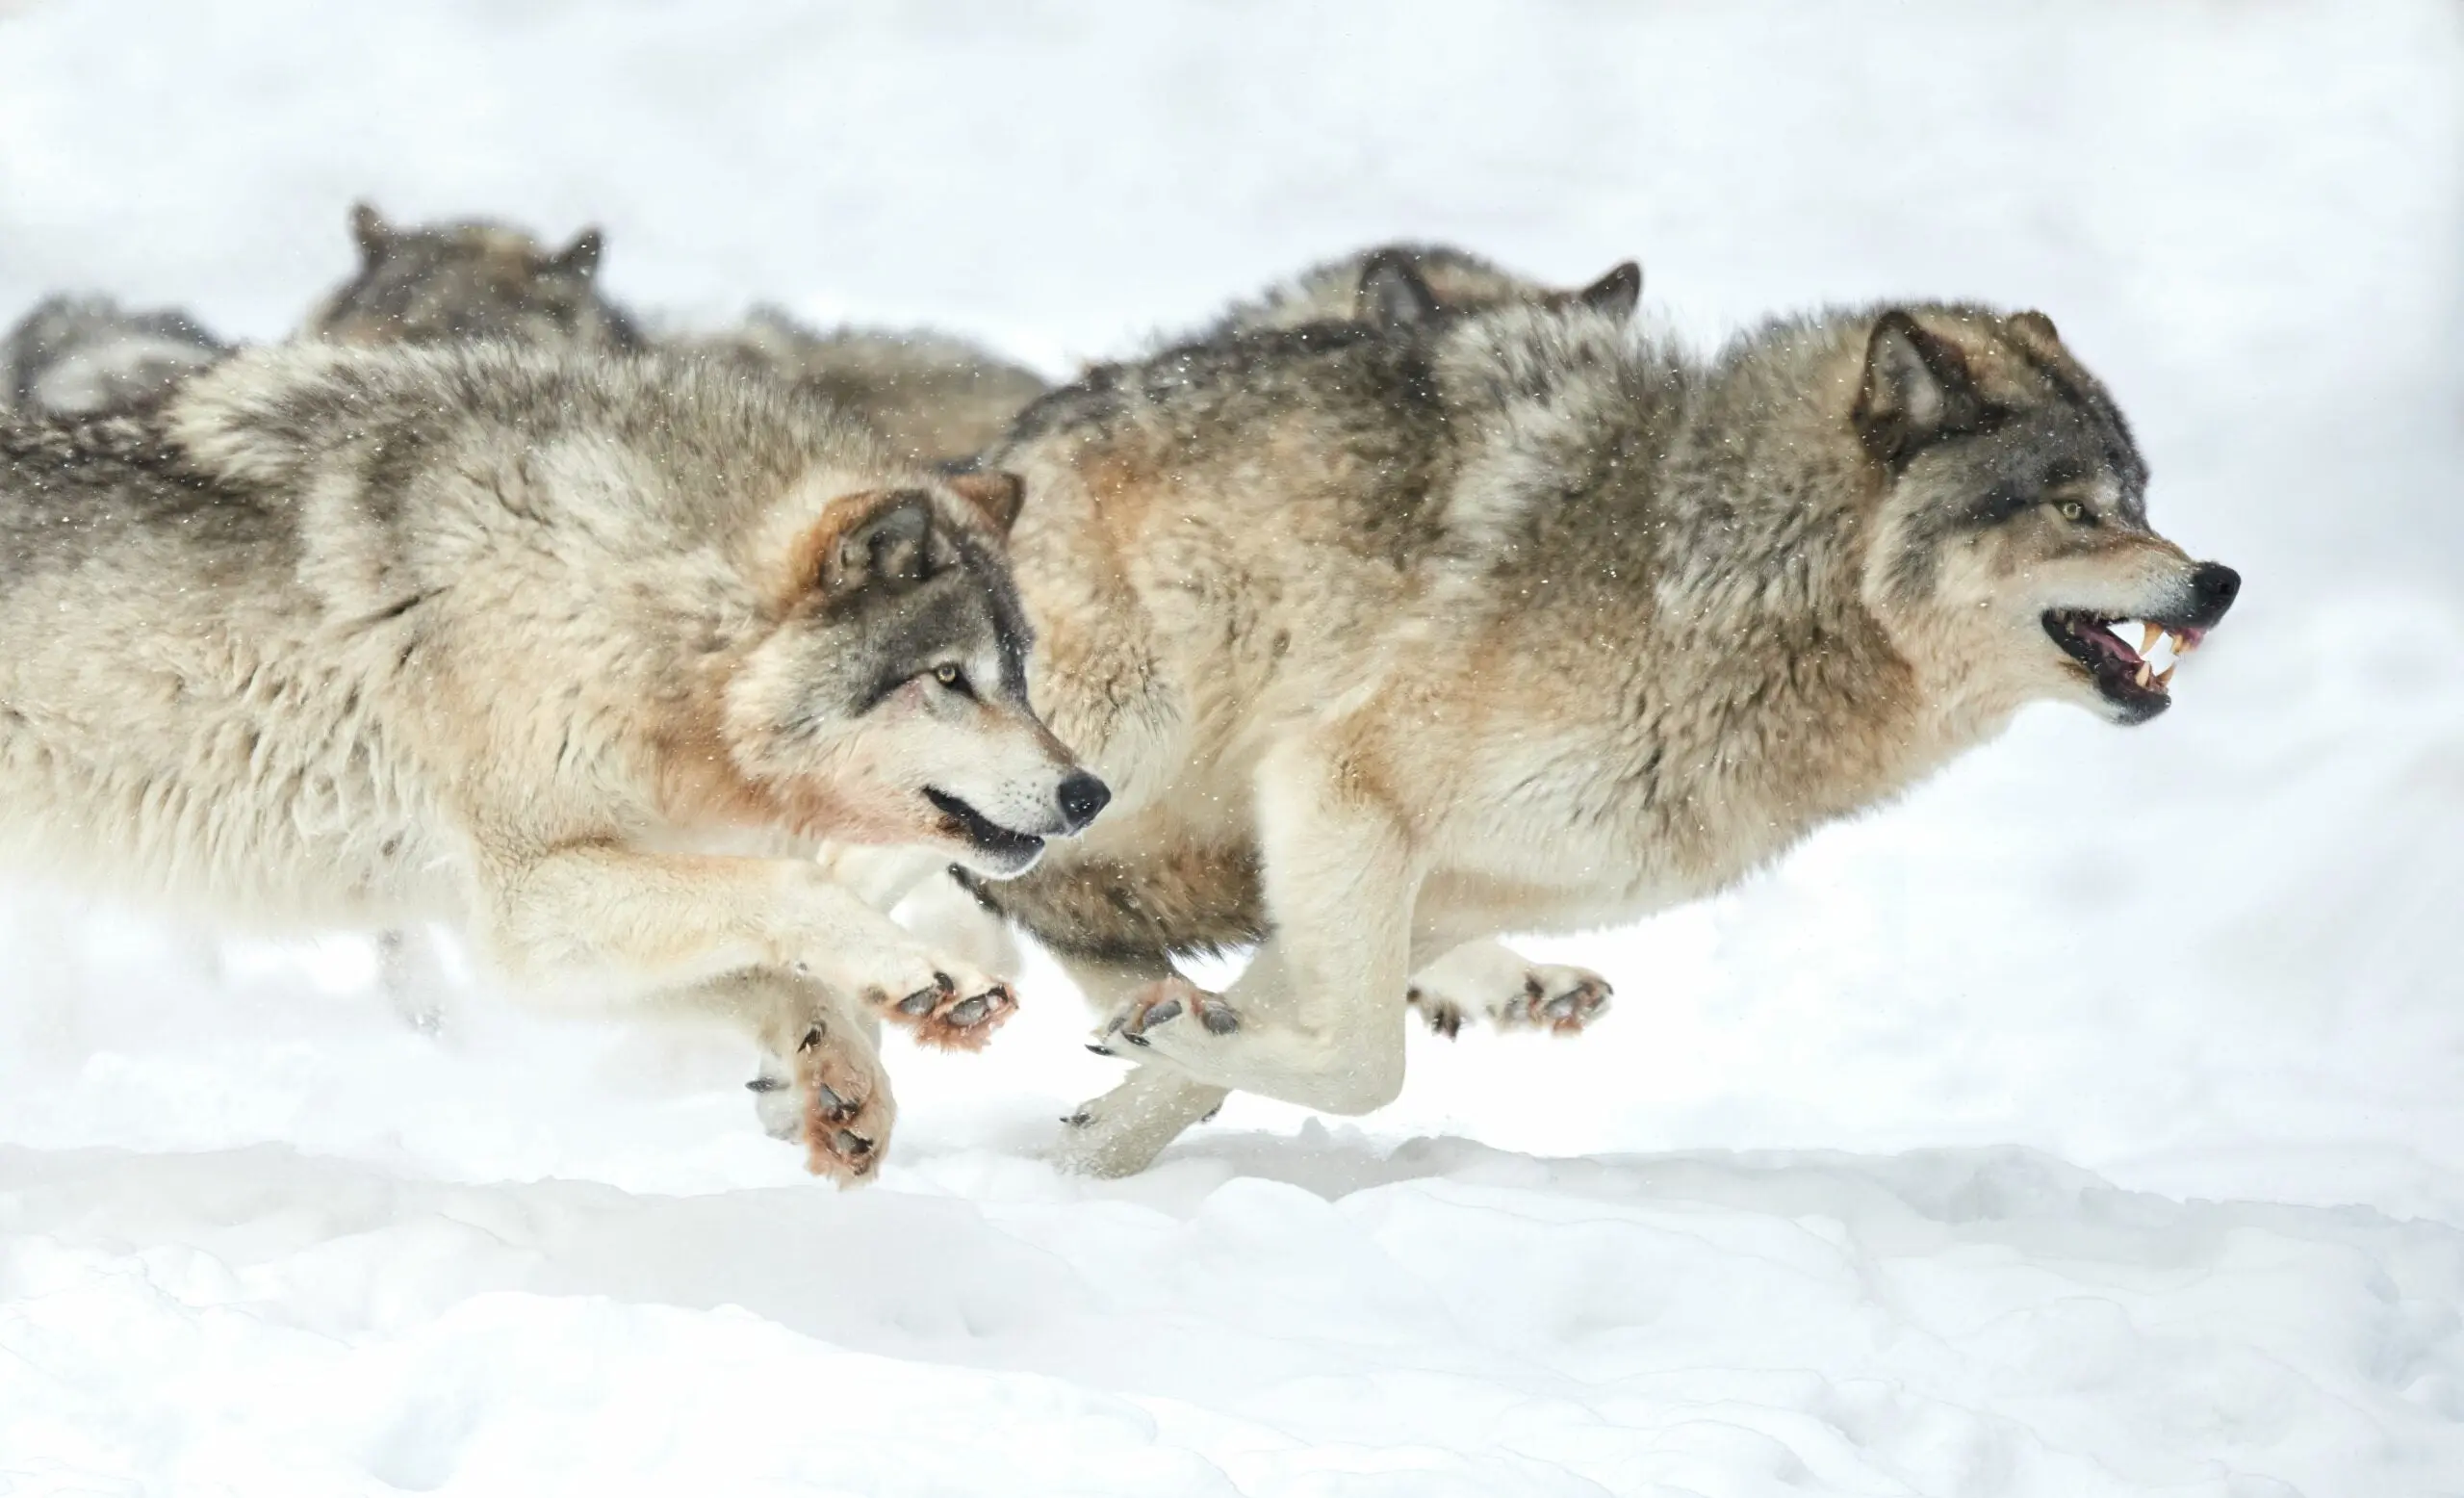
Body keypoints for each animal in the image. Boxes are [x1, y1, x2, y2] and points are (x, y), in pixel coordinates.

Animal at [0, 340, 1109, 1182]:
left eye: (1019, 673)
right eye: (949, 676)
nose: (1088, 792)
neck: (617, 598)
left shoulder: (511, 927)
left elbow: (766, 971)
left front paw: (841, 1075)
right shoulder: (528, 896)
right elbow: (793, 888)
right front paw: (926, 975)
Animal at [931, 296, 2246, 1182]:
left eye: (2138, 498)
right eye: (2074, 507)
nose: (2219, 580)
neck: (1728, 585)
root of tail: (983, 459)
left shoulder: (1429, 882)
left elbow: (1240, 1050)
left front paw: (1095, 1140)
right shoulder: (1339, 783)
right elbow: (1366, 1064)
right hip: (1098, 753)